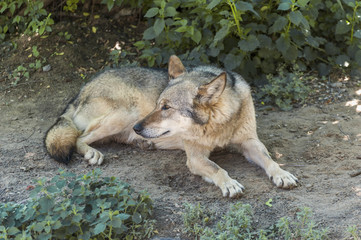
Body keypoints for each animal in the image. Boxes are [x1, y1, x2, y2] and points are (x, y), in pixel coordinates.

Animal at [45, 55, 296, 197]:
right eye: (157, 104)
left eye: (166, 107)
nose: (138, 128)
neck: (217, 126)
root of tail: (80, 91)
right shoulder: (195, 157)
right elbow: (217, 168)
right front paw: (230, 184)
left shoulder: (250, 142)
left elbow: (269, 159)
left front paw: (282, 174)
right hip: (126, 114)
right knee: (79, 137)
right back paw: (94, 153)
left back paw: (141, 143)